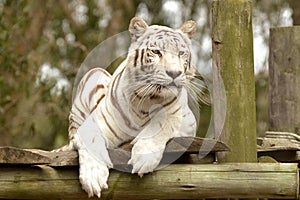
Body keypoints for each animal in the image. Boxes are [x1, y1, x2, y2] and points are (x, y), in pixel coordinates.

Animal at [61, 17, 200, 198]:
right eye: (156, 52)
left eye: (181, 53)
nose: (174, 73)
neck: (147, 100)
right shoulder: (91, 125)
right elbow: (91, 141)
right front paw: (93, 178)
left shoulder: (186, 121)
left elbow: (162, 125)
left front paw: (143, 158)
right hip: (94, 74)